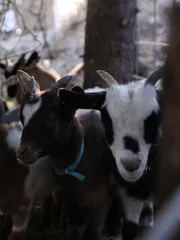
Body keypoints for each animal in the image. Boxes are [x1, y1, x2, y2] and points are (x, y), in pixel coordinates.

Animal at [15, 70, 114, 240]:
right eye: (22, 117)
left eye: (52, 118)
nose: (22, 152)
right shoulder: (70, 199)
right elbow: (72, 229)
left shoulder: (101, 202)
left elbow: (91, 232)